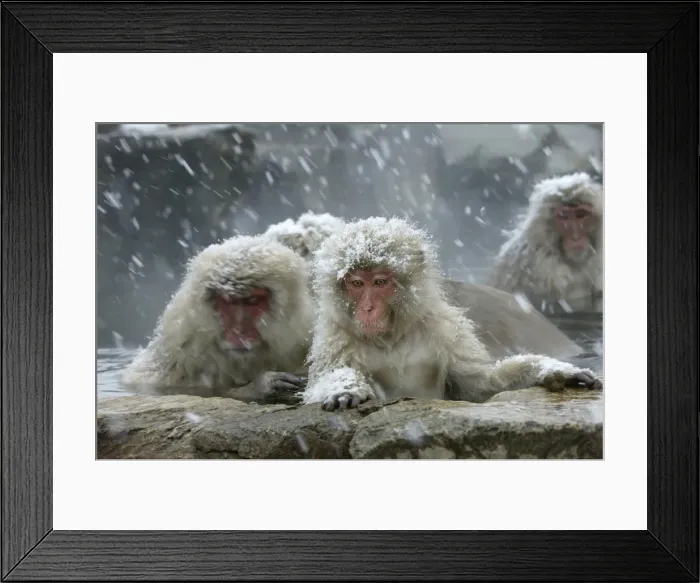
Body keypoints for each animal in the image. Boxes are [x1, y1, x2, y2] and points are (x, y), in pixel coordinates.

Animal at [298, 216, 602, 412]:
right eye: (357, 284)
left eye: (380, 282)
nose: (367, 309)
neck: (392, 338)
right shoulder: (335, 338)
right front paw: (343, 386)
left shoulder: (446, 330)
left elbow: (481, 385)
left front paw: (554, 369)